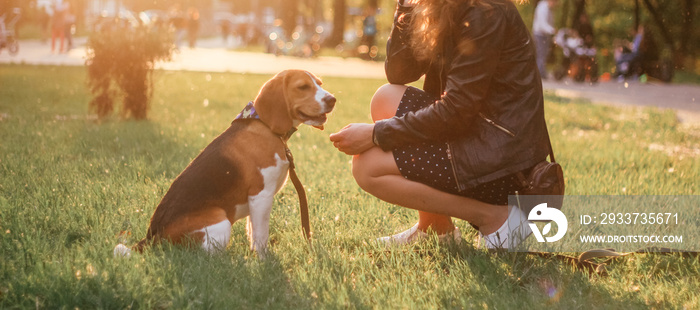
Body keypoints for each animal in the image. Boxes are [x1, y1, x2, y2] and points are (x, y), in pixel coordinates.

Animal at [114, 70, 334, 256]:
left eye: (320, 83)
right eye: (302, 87)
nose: (332, 99)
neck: (265, 126)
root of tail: (152, 238)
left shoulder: (255, 203)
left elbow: (252, 232)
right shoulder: (261, 196)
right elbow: (261, 236)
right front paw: (264, 261)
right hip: (221, 222)